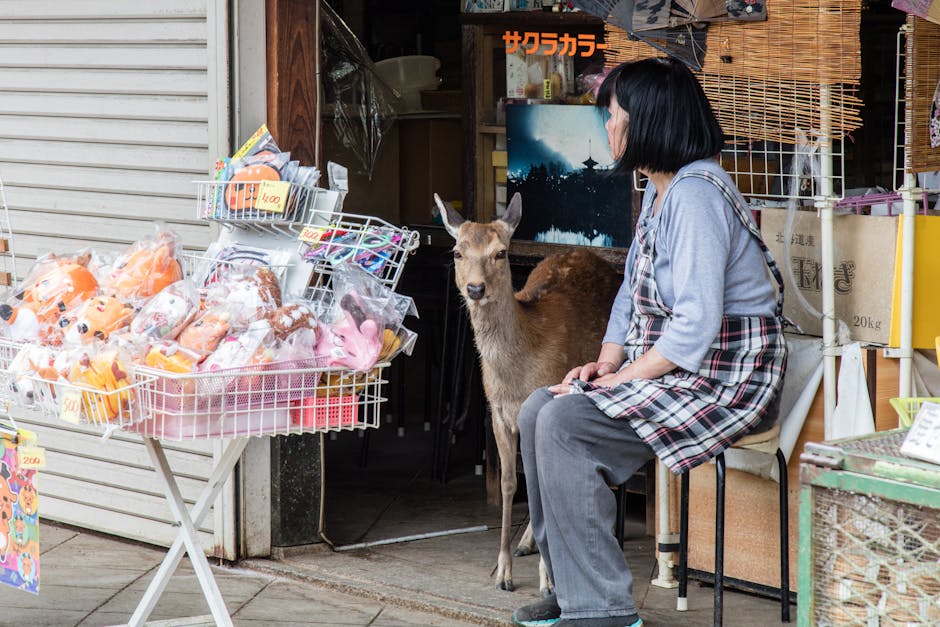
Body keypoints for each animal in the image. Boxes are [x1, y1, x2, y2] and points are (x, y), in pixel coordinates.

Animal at [435, 192, 622, 596]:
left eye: (501, 253)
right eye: (457, 252)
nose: (475, 289)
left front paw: (548, 581)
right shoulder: (498, 413)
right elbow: (510, 483)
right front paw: (503, 571)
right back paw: (526, 543)